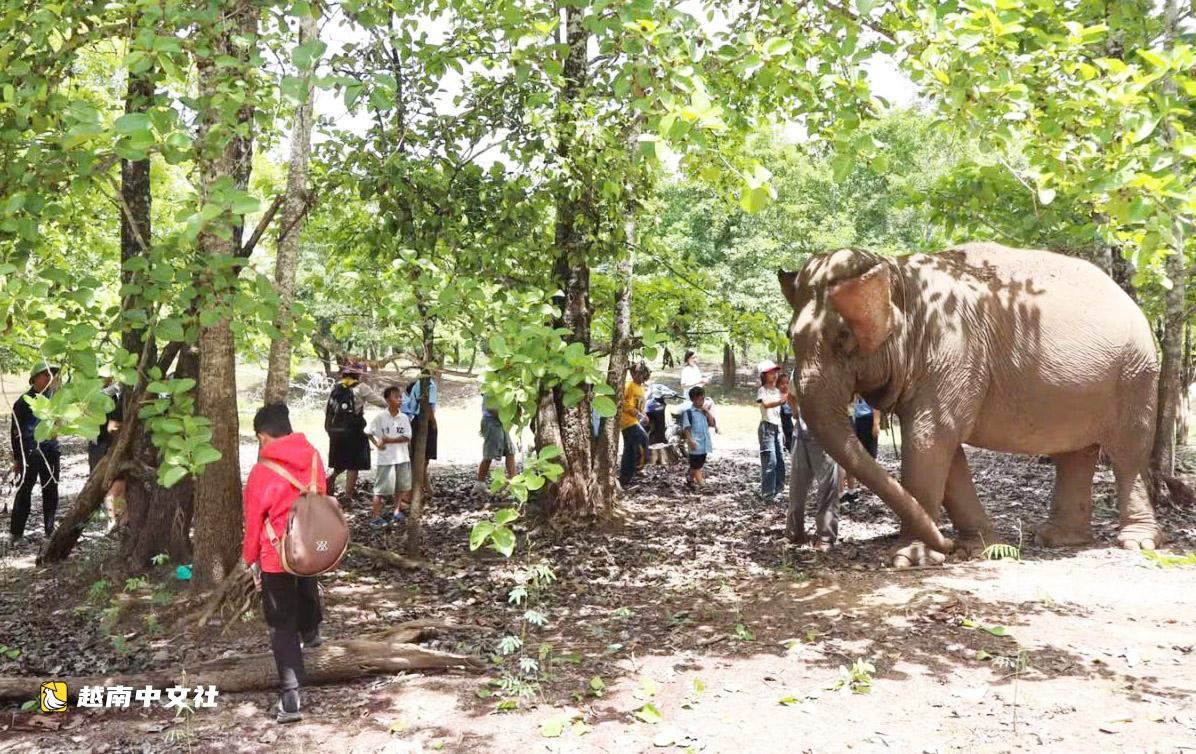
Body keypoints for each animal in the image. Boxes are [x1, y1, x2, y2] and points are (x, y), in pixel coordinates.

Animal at [778, 242, 1162, 566]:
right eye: (789, 335)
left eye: (843, 337)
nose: (945, 544)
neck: (898, 273)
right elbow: (944, 449)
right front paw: (980, 548)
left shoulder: (953, 351)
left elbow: (929, 438)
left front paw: (910, 558)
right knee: (1074, 454)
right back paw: (1058, 539)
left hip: (1135, 374)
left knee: (1128, 452)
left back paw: (1137, 542)